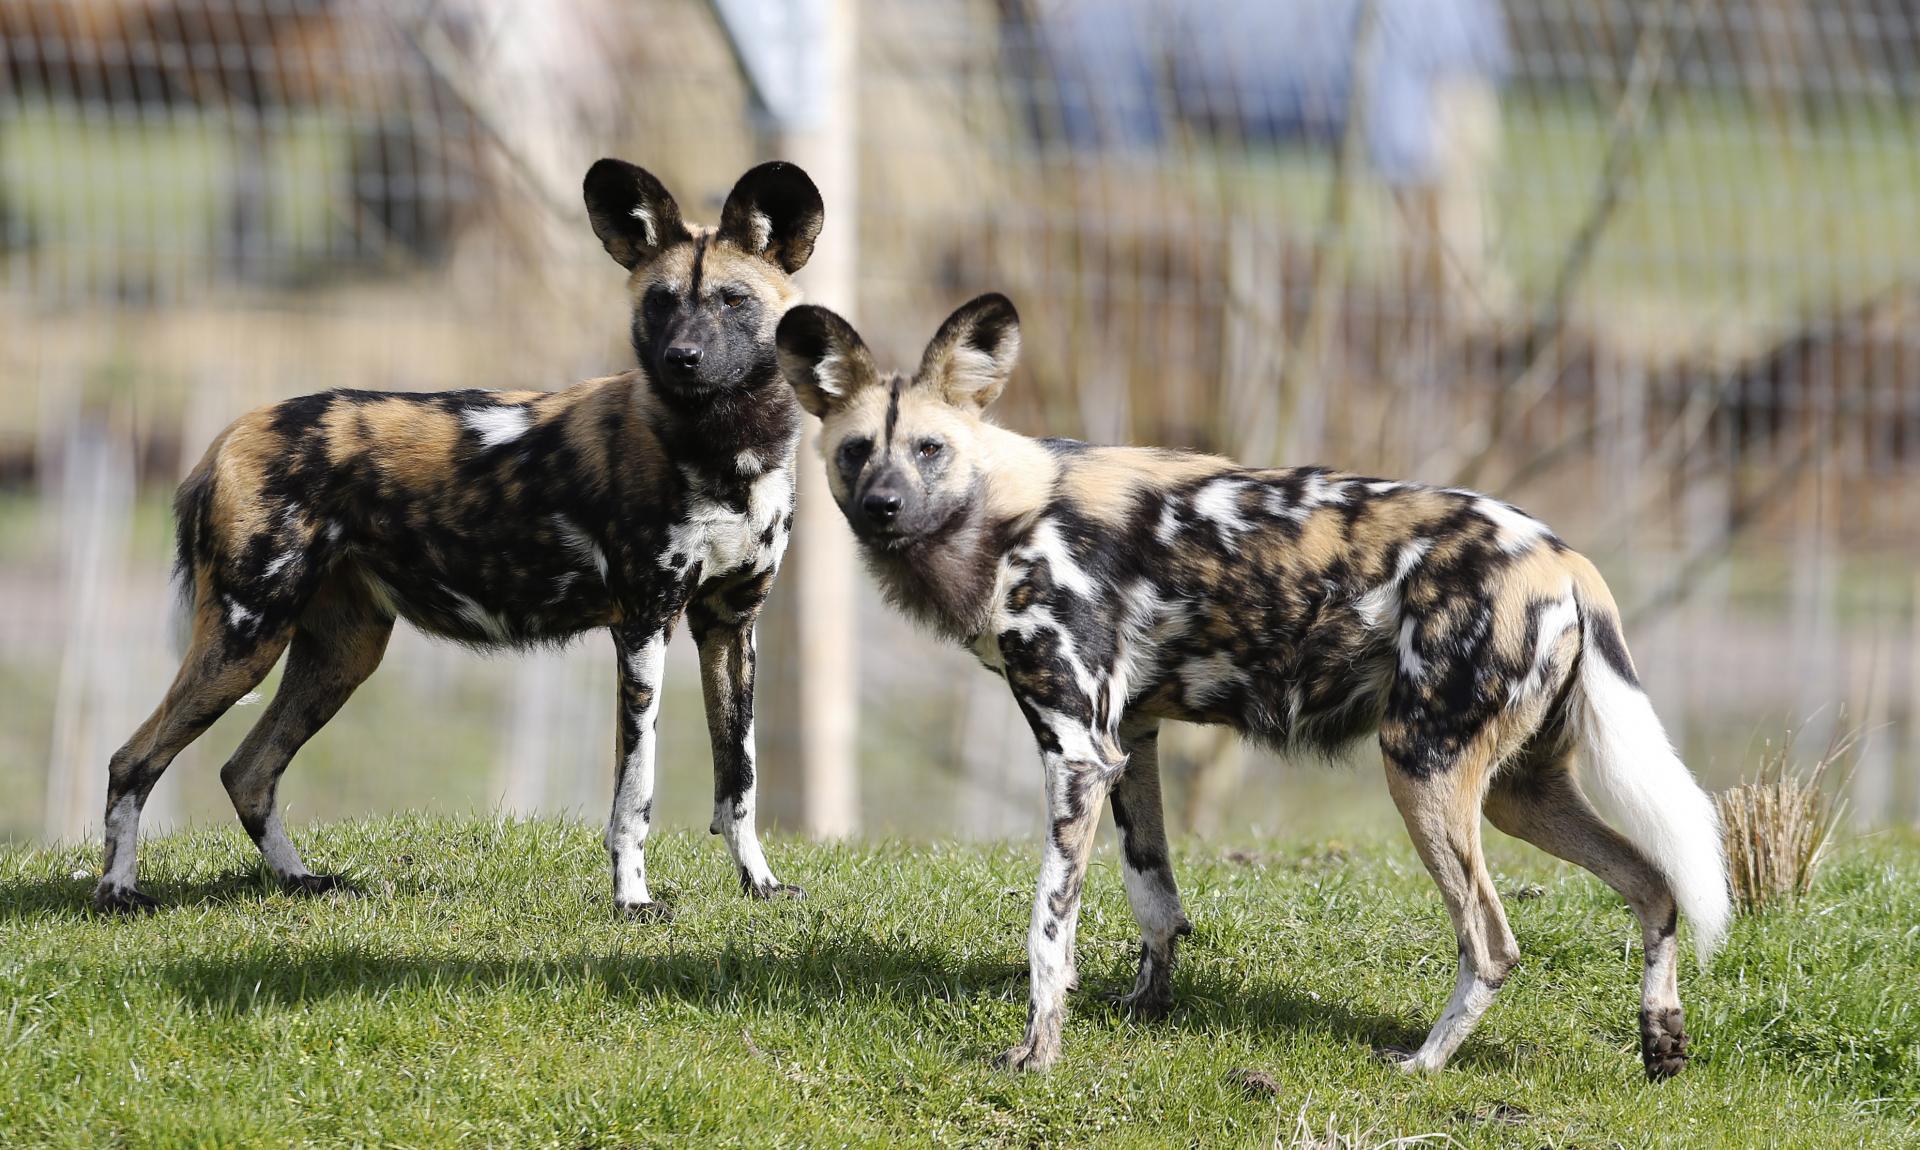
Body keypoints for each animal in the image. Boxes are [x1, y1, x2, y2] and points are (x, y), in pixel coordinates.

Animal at [95, 159, 825, 917]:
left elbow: (738, 781)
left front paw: (761, 885)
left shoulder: (729, 626)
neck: (728, 451)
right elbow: (636, 795)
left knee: (247, 770)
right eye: (660, 302)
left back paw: (301, 880)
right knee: (132, 759)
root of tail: (228, 437)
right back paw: (118, 891)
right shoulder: (645, 627)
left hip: (341, 654)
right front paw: (632, 901)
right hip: (246, 639)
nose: (682, 358)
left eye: (732, 301)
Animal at [771, 295, 1735, 1082]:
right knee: (1654, 883)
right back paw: (1660, 1040)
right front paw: (1145, 1010)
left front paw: (1037, 1052)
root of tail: (1563, 558)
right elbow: (1154, 897)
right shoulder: (1130, 743)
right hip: (1516, 792)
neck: (1006, 515)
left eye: (930, 450)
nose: (884, 507)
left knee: (1493, 944)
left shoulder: (1077, 752)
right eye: (856, 453)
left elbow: (1049, 929)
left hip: (1421, 771)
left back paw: (1423, 1064)